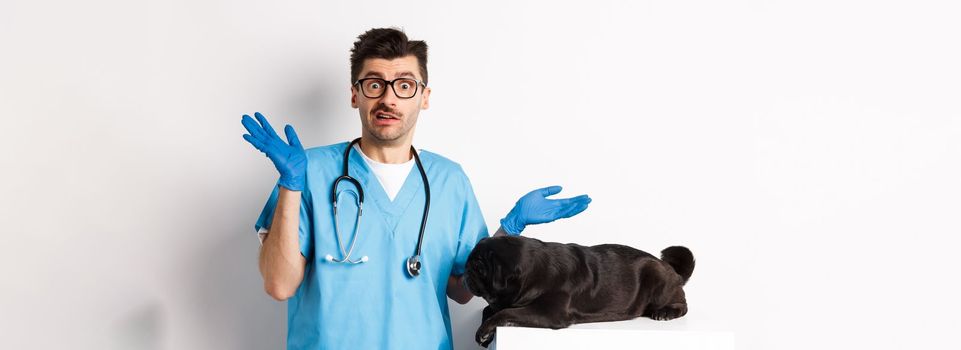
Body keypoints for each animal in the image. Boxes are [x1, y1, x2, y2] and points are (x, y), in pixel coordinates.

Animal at [464, 235, 692, 348]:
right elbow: (489, 310)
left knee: (683, 304)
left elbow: (505, 312)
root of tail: (669, 267)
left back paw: (664, 313)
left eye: (479, 267)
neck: (535, 270)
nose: (465, 269)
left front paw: (484, 331)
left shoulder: (549, 313)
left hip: (657, 279)